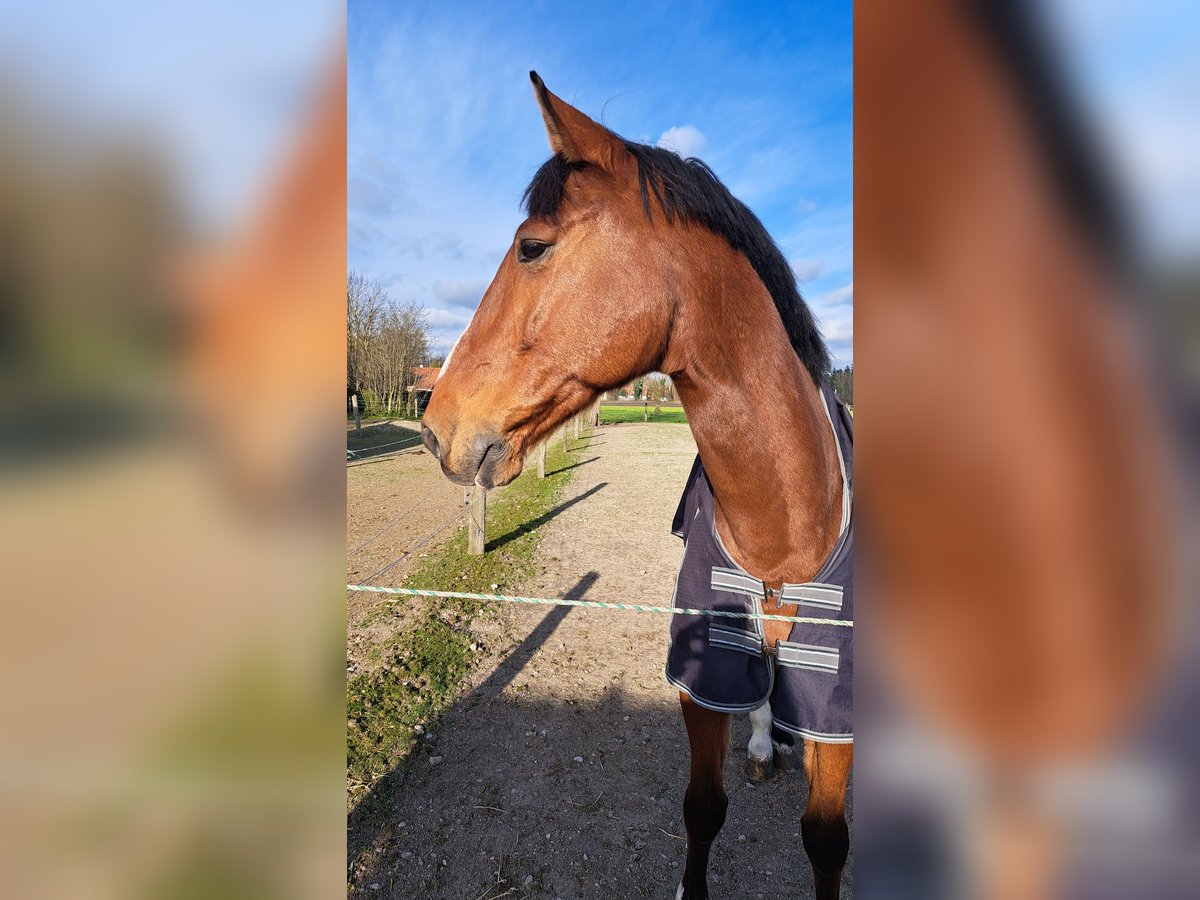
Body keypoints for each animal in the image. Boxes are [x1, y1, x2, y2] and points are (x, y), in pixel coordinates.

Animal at [422, 74, 854, 897]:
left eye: (532, 247)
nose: (434, 425)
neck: (786, 516)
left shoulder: (836, 714)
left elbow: (826, 841)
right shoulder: (703, 683)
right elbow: (702, 808)